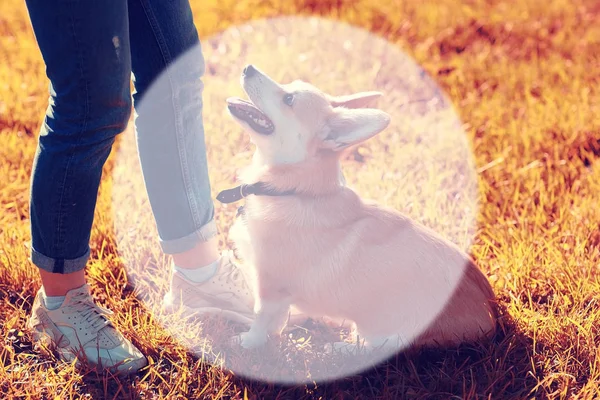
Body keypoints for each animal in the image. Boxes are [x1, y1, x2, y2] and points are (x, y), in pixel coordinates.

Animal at [220, 63, 496, 354]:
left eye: (289, 99)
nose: (248, 67)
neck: (290, 191)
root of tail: (493, 319)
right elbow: (276, 322)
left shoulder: (270, 286)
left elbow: (262, 319)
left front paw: (246, 343)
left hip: (394, 332)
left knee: (373, 346)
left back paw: (339, 347)